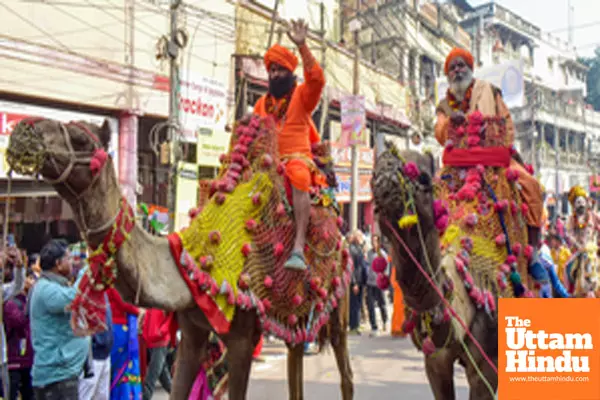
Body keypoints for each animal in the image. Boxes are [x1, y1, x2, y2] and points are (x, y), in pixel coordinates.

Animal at [5, 115, 352, 400]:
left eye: (80, 140)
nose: (24, 130)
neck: (188, 264)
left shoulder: (242, 337)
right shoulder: (193, 331)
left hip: (337, 303)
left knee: (345, 371)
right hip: (294, 313)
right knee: (296, 358)